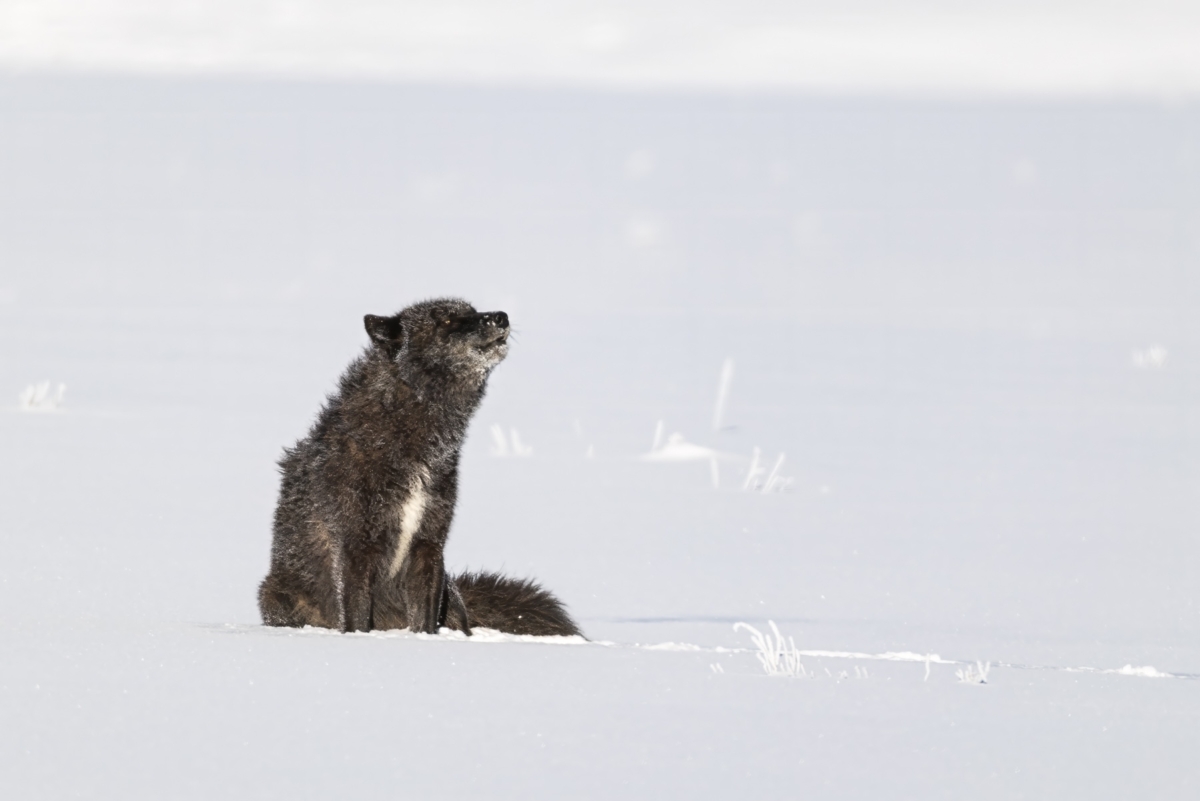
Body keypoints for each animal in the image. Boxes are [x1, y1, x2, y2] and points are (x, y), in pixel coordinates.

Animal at [257, 297, 579, 637]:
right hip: (273, 592)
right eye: (447, 321)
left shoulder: (429, 544)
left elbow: (425, 619)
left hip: (453, 596)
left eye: (472, 312)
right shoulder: (354, 548)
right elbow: (356, 618)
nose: (501, 317)